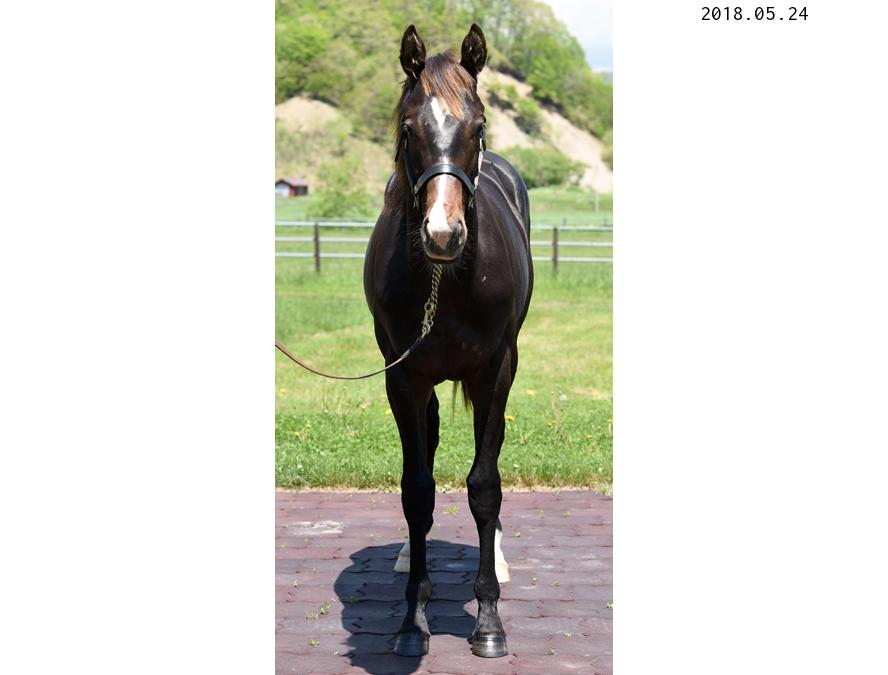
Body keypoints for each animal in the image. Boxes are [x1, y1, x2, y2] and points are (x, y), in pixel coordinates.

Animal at [363, 24, 533, 658]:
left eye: (477, 126)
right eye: (409, 128)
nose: (442, 233)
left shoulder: (494, 374)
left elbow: (485, 486)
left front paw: (488, 620)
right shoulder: (403, 376)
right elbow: (417, 489)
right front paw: (414, 619)